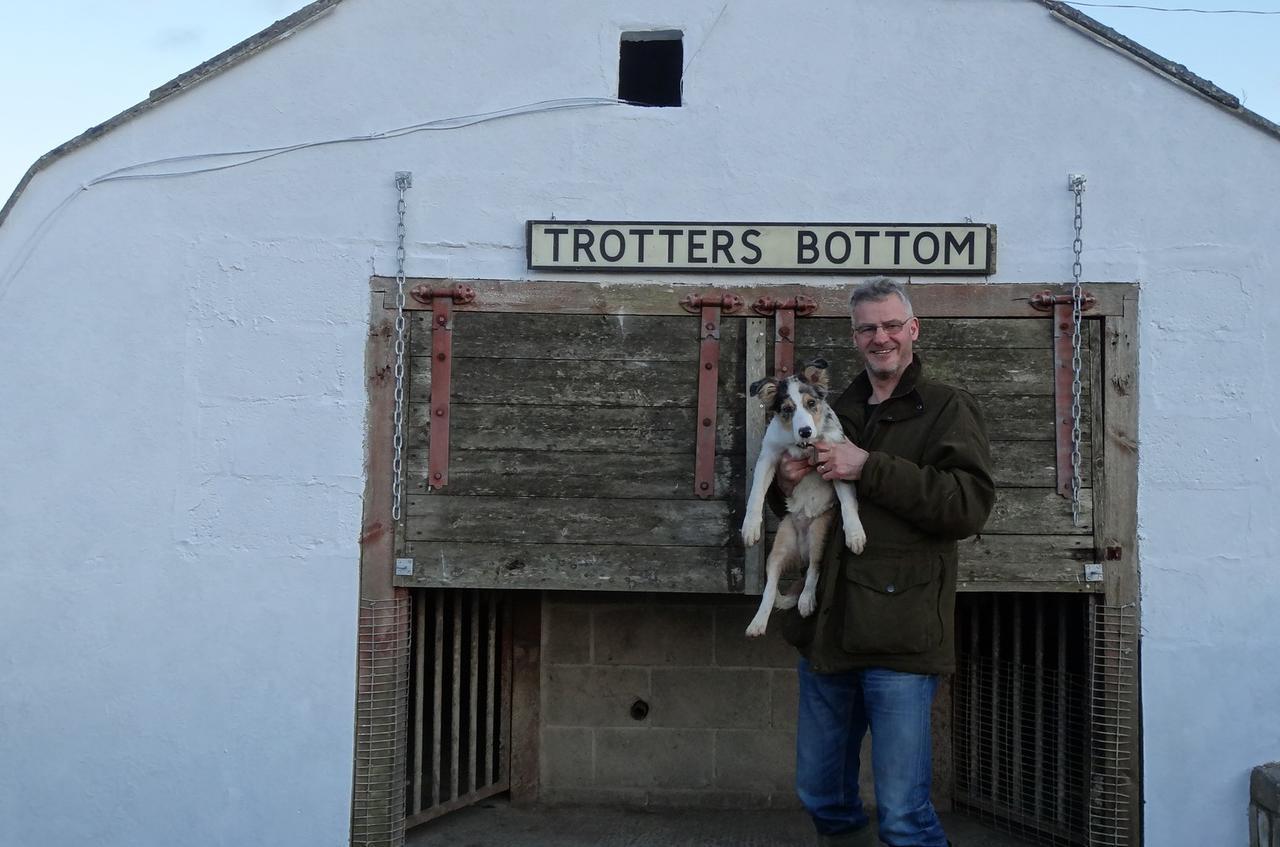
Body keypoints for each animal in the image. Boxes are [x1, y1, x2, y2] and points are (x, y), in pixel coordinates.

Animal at [747, 358, 865, 637]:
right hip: (780, 544)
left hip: (820, 532)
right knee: (771, 585)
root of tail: (800, 550)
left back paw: (806, 600)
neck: (804, 447)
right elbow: (756, 492)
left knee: (814, 569)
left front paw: (855, 534)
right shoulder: (768, 456)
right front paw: (750, 527)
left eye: (811, 403)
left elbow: (848, 502)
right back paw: (758, 621)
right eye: (787, 409)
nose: (804, 431)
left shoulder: (838, 459)